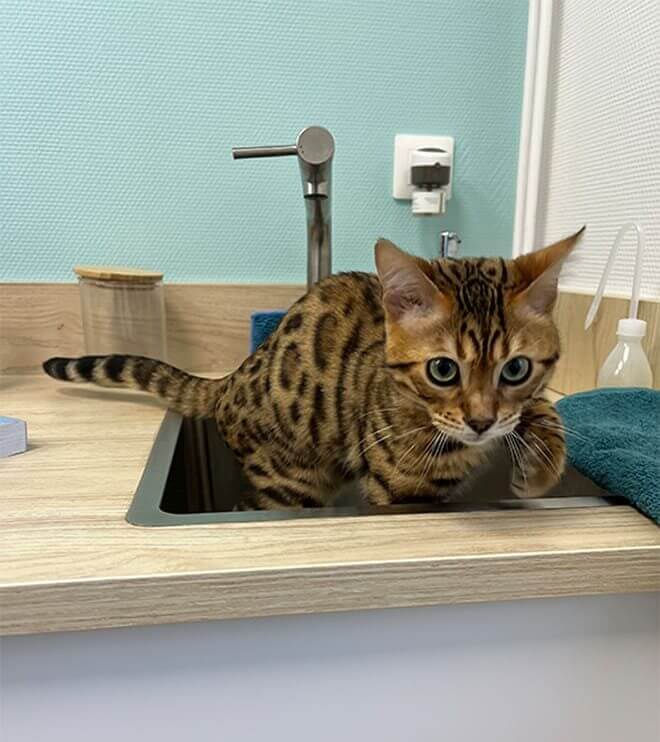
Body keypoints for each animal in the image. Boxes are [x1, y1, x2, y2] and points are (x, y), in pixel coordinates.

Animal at [42, 231, 584, 512]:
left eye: (515, 368)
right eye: (443, 370)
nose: (480, 421)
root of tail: (232, 381)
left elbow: (544, 410)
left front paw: (538, 469)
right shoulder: (396, 493)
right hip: (290, 481)